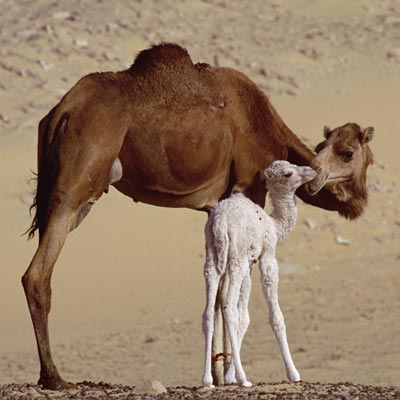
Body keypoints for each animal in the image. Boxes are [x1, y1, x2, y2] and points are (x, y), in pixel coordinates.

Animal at [202, 160, 318, 388]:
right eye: (288, 172)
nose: (311, 170)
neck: (274, 224)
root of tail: (219, 221)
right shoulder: (266, 256)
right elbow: (275, 316)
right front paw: (293, 373)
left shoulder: (250, 263)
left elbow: (244, 316)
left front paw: (229, 377)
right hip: (235, 257)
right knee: (228, 307)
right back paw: (244, 379)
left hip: (212, 255)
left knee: (209, 311)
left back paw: (207, 380)